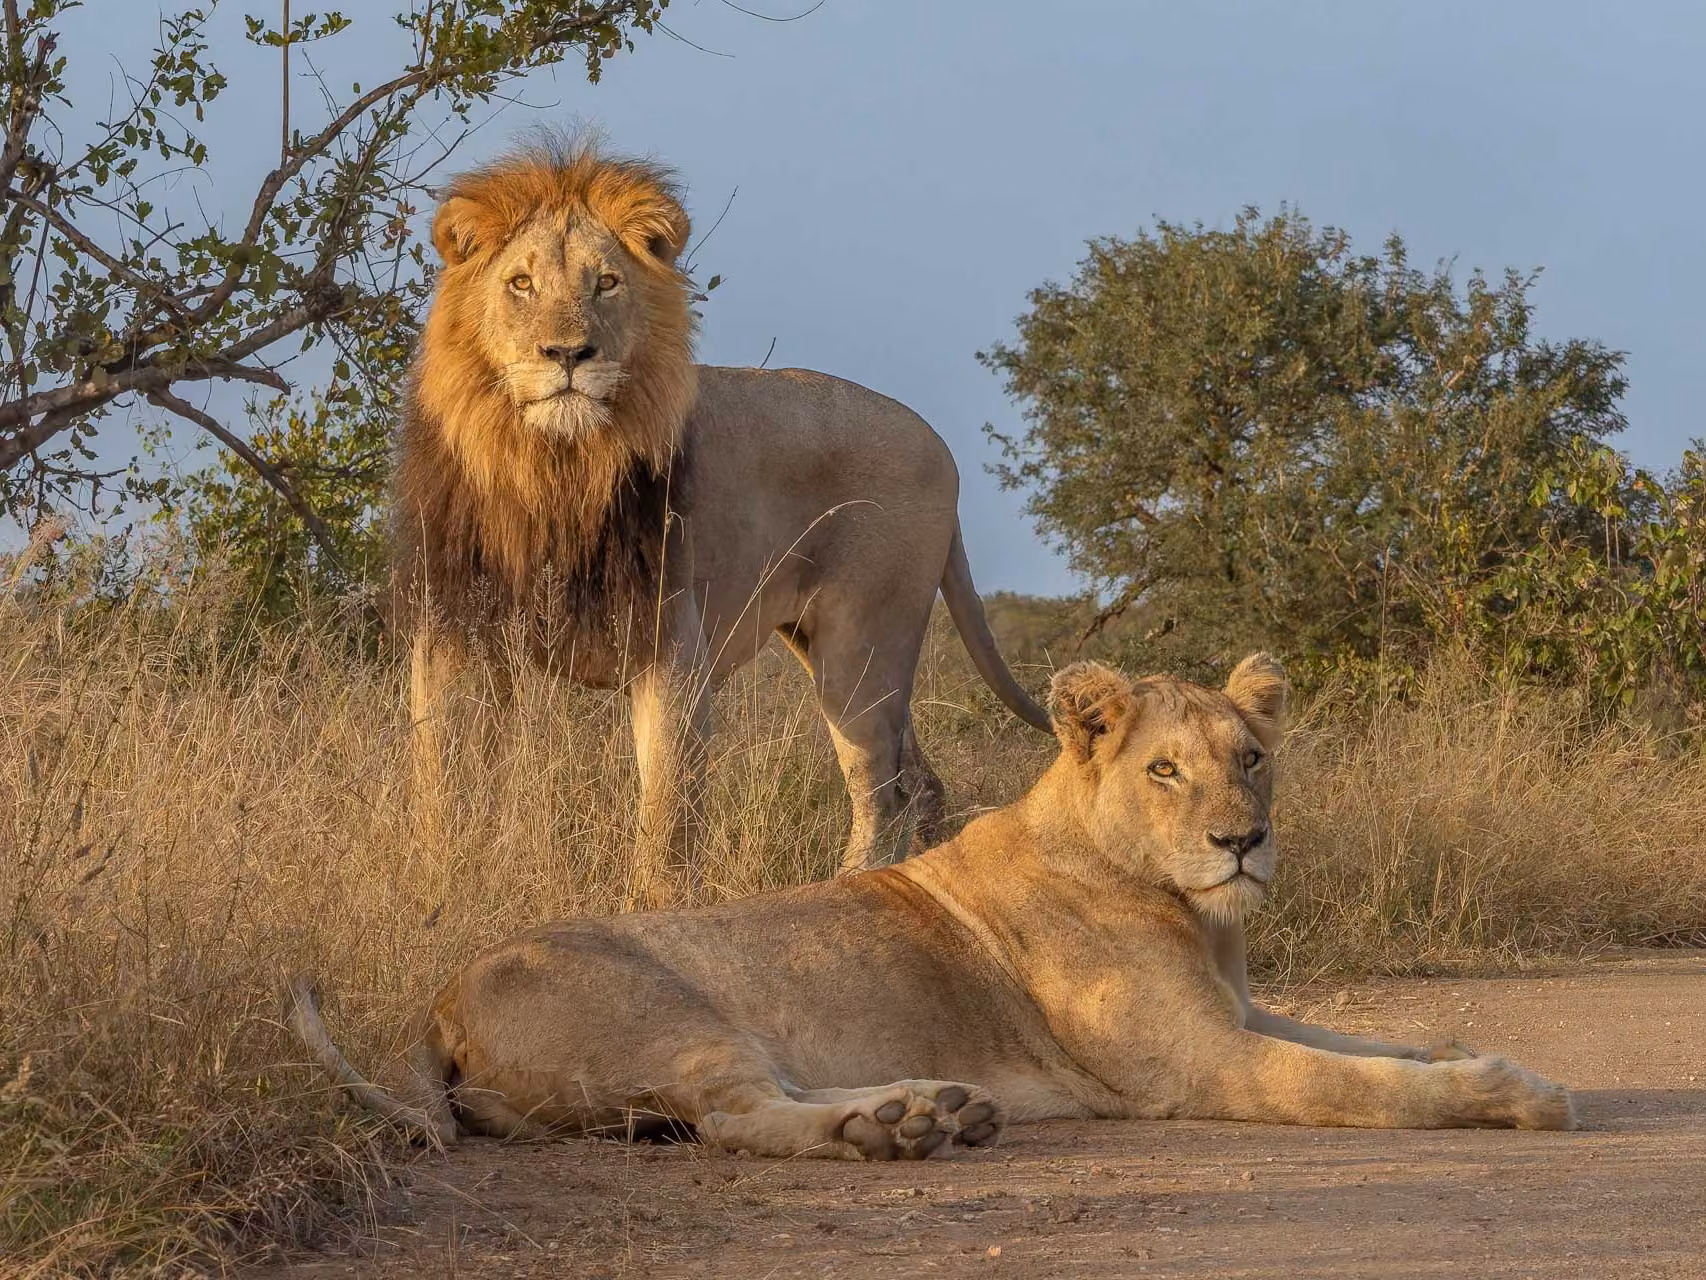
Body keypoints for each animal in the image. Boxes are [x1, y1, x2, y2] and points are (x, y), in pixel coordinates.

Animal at [291, 653, 1575, 1158]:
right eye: (1165, 768)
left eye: (1249, 757)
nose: (1240, 839)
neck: (1192, 910)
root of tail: (435, 998)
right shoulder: (1198, 1063)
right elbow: (1353, 1080)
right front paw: (1512, 1089)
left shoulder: (1238, 1013)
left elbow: (1364, 1038)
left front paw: (1459, 1044)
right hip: (677, 1011)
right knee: (735, 1115)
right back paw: (892, 1129)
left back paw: (930, 1106)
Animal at [391, 137, 1050, 905]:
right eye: (520, 284)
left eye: (606, 284)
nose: (567, 355)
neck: (554, 468)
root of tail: (939, 443)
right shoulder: (453, 631)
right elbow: (441, 785)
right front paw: (437, 888)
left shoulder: (672, 644)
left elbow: (667, 812)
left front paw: (652, 911)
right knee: (920, 782)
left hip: (862, 652)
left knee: (883, 792)